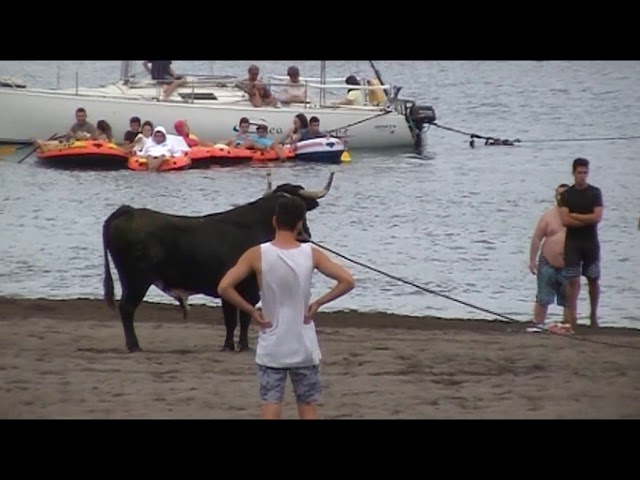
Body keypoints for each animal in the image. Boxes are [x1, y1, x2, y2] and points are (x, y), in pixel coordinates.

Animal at [101, 171, 336, 350]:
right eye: (301, 211)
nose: (306, 235)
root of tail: (128, 211)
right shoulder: (236, 288)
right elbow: (234, 319)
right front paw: (232, 346)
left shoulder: (247, 290)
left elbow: (242, 318)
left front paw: (239, 345)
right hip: (136, 280)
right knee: (127, 308)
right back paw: (134, 346)